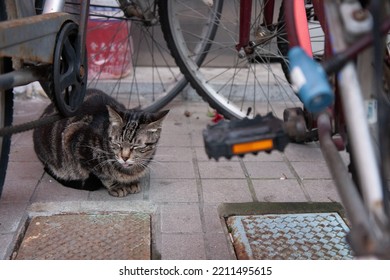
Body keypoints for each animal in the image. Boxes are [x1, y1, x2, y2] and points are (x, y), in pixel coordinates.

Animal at [32, 89, 168, 197]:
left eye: (136, 146)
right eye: (117, 143)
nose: (124, 157)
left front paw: (130, 182)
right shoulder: (75, 141)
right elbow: (102, 173)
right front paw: (117, 185)